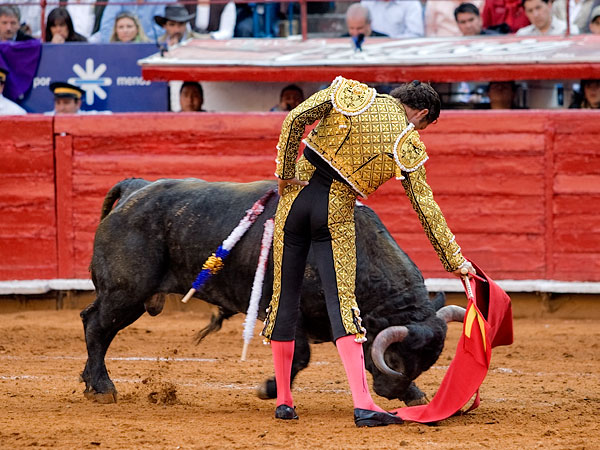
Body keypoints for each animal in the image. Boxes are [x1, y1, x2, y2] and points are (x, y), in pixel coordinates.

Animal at [81, 178, 464, 404]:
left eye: (425, 364)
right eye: (395, 360)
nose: (391, 391)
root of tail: (135, 189)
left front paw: (416, 395)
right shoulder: (285, 310)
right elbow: (300, 356)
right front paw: (269, 390)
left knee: (97, 326)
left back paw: (91, 383)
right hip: (125, 292)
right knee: (96, 325)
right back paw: (103, 388)